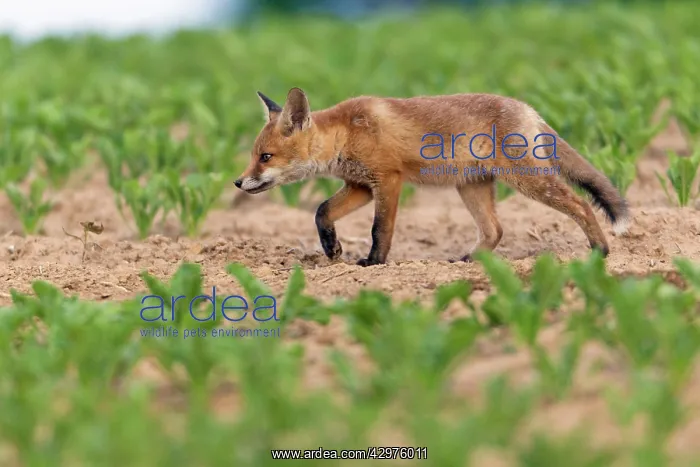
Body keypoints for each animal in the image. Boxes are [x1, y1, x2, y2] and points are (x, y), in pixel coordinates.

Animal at [234, 87, 630, 267]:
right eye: (254, 157)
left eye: (265, 157)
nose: (238, 183)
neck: (345, 133)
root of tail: (529, 109)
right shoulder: (360, 186)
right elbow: (321, 210)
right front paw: (332, 248)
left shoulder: (388, 180)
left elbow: (380, 229)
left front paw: (374, 263)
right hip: (471, 187)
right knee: (495, 230)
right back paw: (470, 262)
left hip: (527, 180)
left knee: (581, 204)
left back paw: (601, 251)